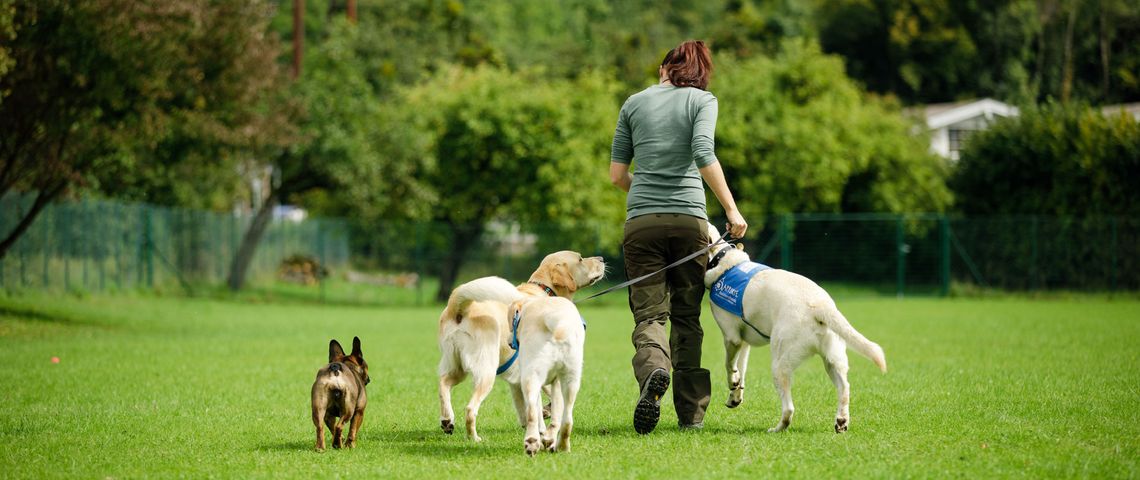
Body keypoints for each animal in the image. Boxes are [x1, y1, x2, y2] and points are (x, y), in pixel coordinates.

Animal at [697, 222, 884, 430]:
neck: (722, 260)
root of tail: (820, 305)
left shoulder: (733, 339)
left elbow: (729, 365)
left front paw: (733, 383)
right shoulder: (744, 344)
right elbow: (741, 370)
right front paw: (735, 395)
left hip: (780, 363)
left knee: (788, 410)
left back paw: (777, 428)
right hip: (833, 361)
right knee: (845, 388)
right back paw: (841, 420)